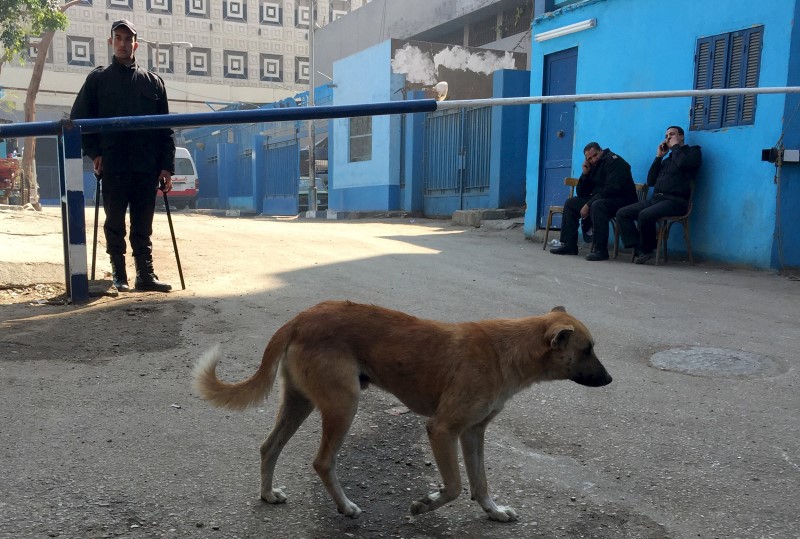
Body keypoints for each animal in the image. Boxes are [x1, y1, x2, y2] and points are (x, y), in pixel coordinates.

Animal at [194, 302, 612, 520]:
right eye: (588, 349)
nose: (610, 380)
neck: (506, 351)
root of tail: (301, 317)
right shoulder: (442, 430)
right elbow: (456, 486)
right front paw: (425, 504)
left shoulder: (474, 432)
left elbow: (480, 483)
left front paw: (493, 511)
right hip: (343, 404)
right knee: (322, 462)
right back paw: (345, 507)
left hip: (301, 402)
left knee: (269, 447)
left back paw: (267, 494)